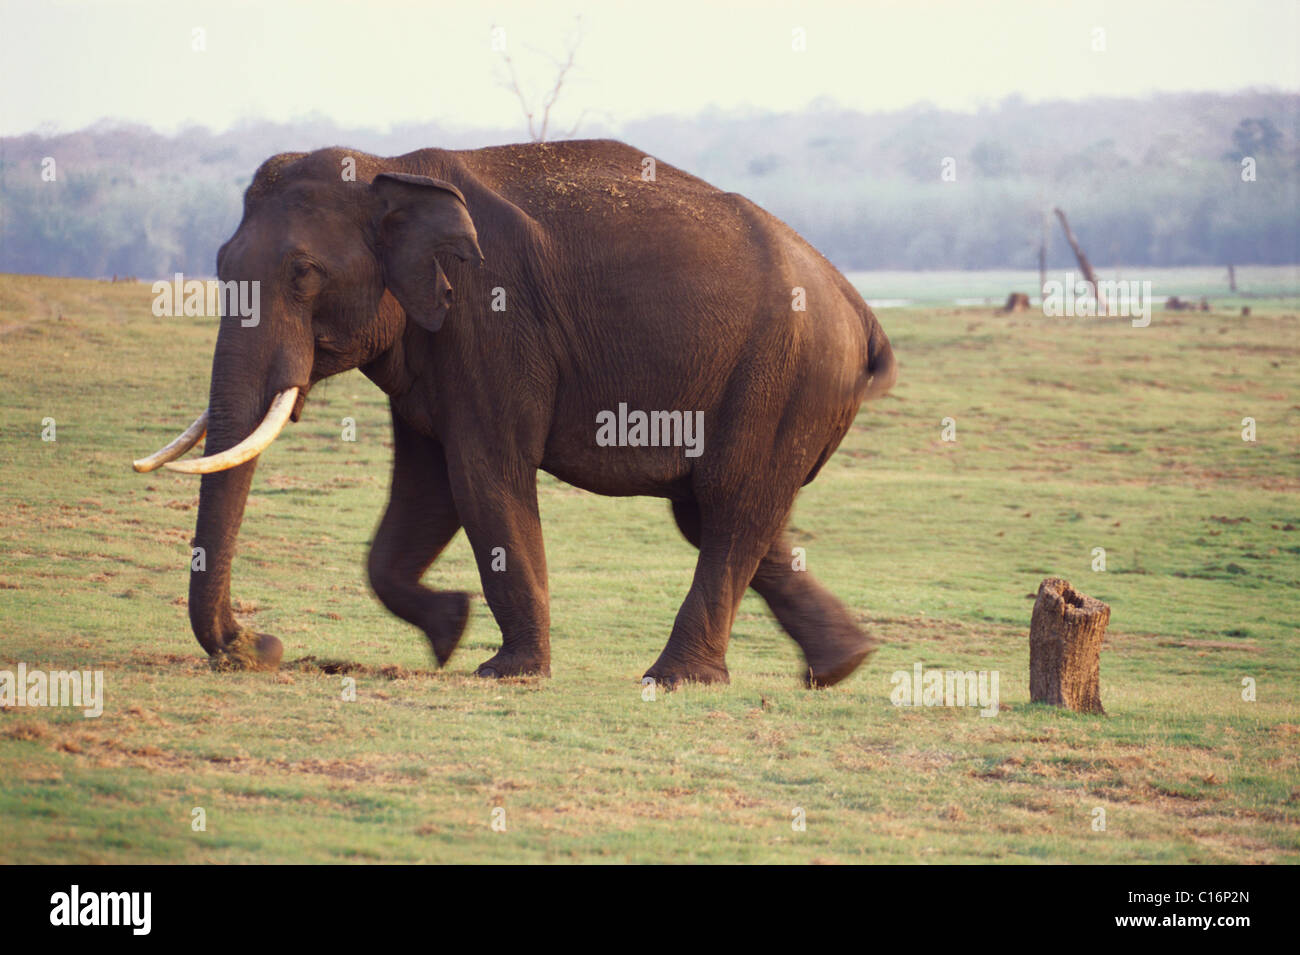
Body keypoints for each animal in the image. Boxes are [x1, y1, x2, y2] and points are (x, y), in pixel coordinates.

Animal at [137, 140, 899, 686]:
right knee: (716, 512)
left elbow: (484, 474)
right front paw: (449, 630)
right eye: (219, 264)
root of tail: (861, 312)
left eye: (303, 274)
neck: (389, 168)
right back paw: (842, 665)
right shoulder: (433, 340)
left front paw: (504, 671)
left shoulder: (493, 324)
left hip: (784, 377)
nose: (260, 644)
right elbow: (425, 491)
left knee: (731, 504)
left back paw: (677, 679)